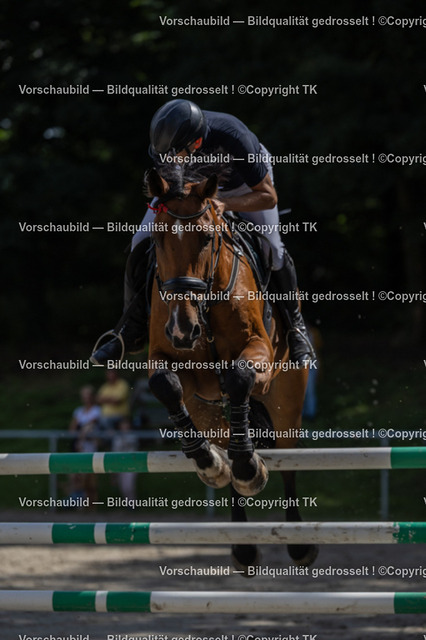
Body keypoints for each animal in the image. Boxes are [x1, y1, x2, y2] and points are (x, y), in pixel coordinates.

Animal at [146, 167, 318, 573]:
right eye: (158, 240)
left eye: (208, 238)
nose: (183, 330)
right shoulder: (173, 363)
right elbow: (165, 384)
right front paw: (210, 463)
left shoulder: (260, 357)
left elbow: (239, 376)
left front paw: (247, 468)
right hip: (209, 415)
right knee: (230, 453)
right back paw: (241, 540)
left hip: (287, 406)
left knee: (288, 462)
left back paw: (297, 541)